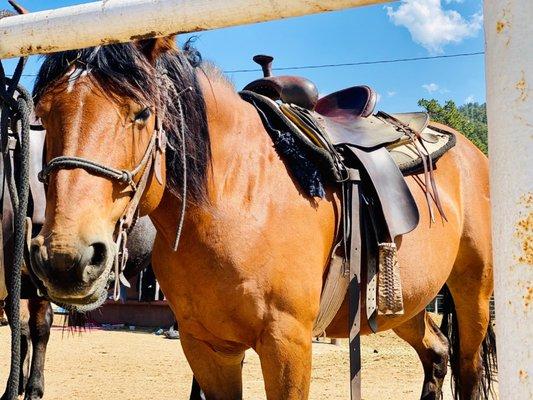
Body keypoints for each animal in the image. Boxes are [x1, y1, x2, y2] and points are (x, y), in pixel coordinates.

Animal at [28, 36, 494, 398]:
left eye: (141, 113)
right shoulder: (207, 348)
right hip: (403, 302)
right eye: (43, 115)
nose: (67, 259)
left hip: (473, 292)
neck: (236, 200)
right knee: (436, 352)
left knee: (467, 369)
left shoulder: (287, 344)